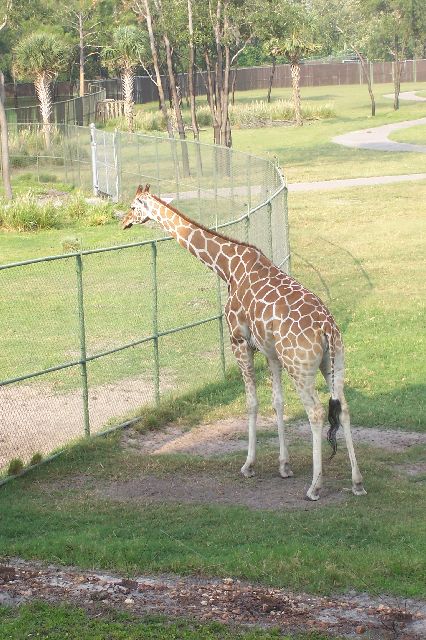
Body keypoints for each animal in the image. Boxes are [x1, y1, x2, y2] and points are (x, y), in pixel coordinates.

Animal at [123, 184, 366, 500]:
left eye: (132, 206)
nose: (123, 221)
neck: (227, 267)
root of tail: (327, 328)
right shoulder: (271, 353)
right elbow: (277, 402)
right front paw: (284, 466)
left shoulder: (239, 340)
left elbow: (251, 402)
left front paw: (249, 465)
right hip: (333, 362)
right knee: (344, 408)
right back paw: (357, 482)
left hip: (300, 366)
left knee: (315, 412)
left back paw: (315, 486)